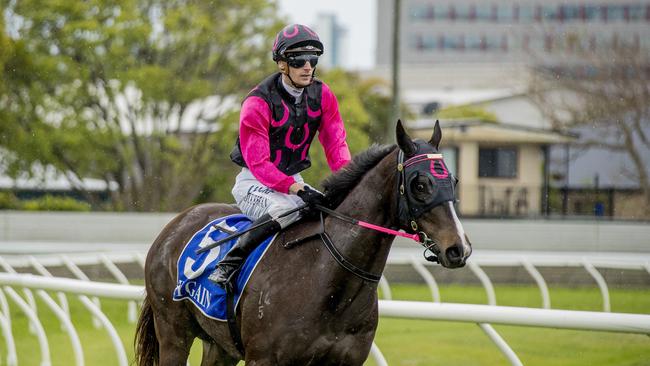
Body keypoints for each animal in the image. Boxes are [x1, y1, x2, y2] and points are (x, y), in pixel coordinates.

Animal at [135, 121, 470, 366]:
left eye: (452, 180)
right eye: (420, 184)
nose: (459, 248)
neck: (329, 281)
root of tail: (176, 223)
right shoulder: (263, 359)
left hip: (221, 344)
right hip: (173, 332)